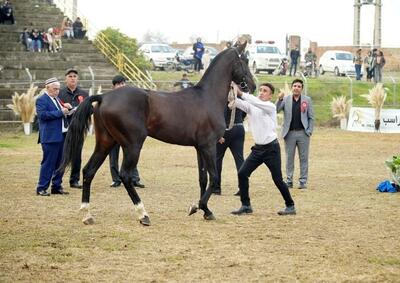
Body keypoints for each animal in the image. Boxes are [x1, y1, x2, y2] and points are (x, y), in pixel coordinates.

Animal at [60, 42, 256, 227]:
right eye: (245, 60)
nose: (252, 86)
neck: (207, 97)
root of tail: (103, 97)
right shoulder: (209, 146)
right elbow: (214, 178)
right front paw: (196, 207)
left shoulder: (199, 148)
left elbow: (203, 178)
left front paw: (206, 211)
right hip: (132, 145)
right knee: (125, 176)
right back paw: (143, 214)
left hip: (106, 142)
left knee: (88, 171)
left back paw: (87, 215)